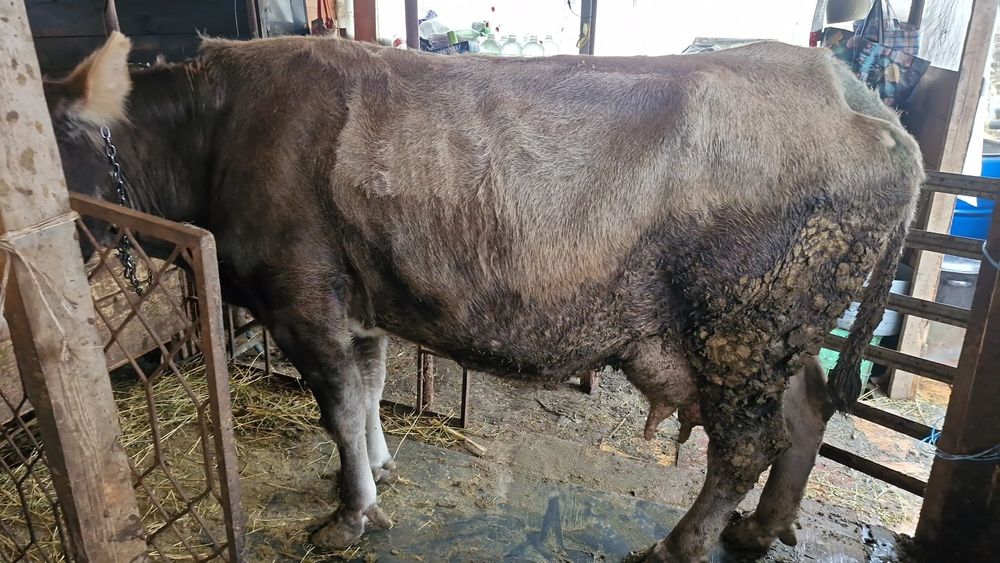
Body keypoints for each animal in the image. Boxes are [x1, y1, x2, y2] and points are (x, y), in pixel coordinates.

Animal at [43, 32, 923, 561]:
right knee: (804, 416)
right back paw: (759, 528)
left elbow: (338, 407)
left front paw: (349, 513)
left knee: (745, 444)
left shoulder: (303, 297)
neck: (216, 130)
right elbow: (369, 390)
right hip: (781, 333)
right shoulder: (361, 299)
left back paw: (679, 544)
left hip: (740, 324)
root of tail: (855, 97)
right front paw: (377, 469)